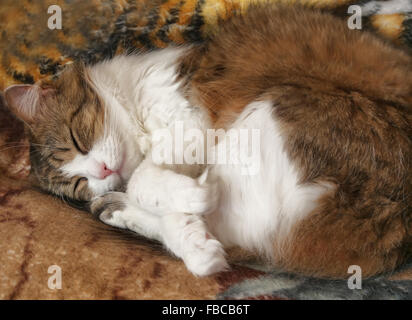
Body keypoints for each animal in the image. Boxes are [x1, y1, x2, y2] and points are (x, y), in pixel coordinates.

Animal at [4, 3, 412, 278]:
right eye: (78, 182)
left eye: (77, 140)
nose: (102, 171)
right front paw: (192, 238)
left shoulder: (192, 123)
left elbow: (145, 180)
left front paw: (186, 199)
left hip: (271, 111)